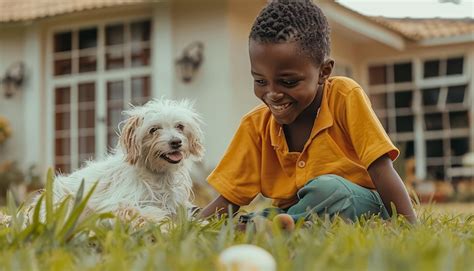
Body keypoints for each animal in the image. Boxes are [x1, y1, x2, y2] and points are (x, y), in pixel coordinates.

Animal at [25, 99, 204, 226]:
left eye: (180, 126)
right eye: (153, 129)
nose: (176, 142)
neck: (156, 175)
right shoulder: (116, 205)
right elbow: (143, 212)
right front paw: (162, 222)